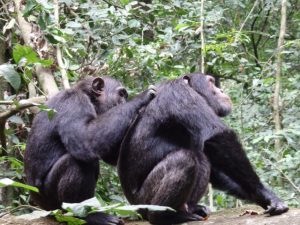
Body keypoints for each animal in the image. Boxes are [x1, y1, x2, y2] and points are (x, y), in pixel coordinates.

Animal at [24, 76, 156, 225]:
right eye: (121, 94)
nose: (124, 101)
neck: (89, 97)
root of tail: (41, 206)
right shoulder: (75, 103)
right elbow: (85, 138)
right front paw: (143, 97)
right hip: (51, 202)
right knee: (76, 163)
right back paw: (85, 215)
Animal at [118, 72, 290, 225]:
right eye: (211, 82)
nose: (221, 90)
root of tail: (134, 208)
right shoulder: (179, 93)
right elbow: (217, 136)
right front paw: (264, 193)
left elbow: (216, 165)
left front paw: (263, 198)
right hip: (144, 201)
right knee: (184, 159)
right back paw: (165, 216)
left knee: (202, 158)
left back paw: (193, 209)